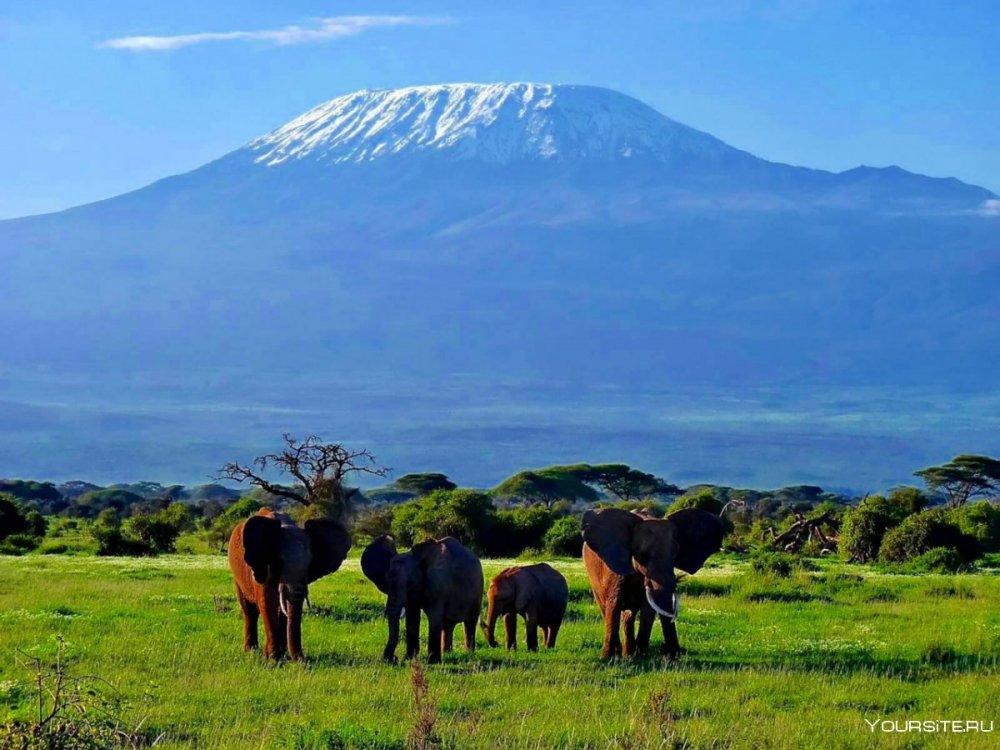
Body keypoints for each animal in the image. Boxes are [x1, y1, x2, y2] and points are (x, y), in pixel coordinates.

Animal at [227, 512, 352, 664]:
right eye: (279, 561)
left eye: (309, 563)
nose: (302, 661)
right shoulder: (263, 563)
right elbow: (267, 603)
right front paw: (273, 660)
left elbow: (284, 609)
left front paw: (279, 656)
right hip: (237, 575)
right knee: (249, 611)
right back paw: (251, 651)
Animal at [362, 536, 486, 668]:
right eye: (387, 584)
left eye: (409, 583)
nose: (393, 659)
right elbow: (412, 618)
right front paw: (410, 659)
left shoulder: (438, 583)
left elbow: (434, 618)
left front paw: (432, 663)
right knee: (448, 625)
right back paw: (447, 653)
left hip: (477, 591)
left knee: (469, 623)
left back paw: (469, 654)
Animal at [584, 508, 724, 660]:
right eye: (642, 554)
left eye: (676, 553)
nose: (672, 654)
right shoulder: (615, 569)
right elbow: (614, 603)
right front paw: (609, 658)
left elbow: (648, 608)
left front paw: (640, 656)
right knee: (605, 608)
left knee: (629, 616)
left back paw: (629, 655)